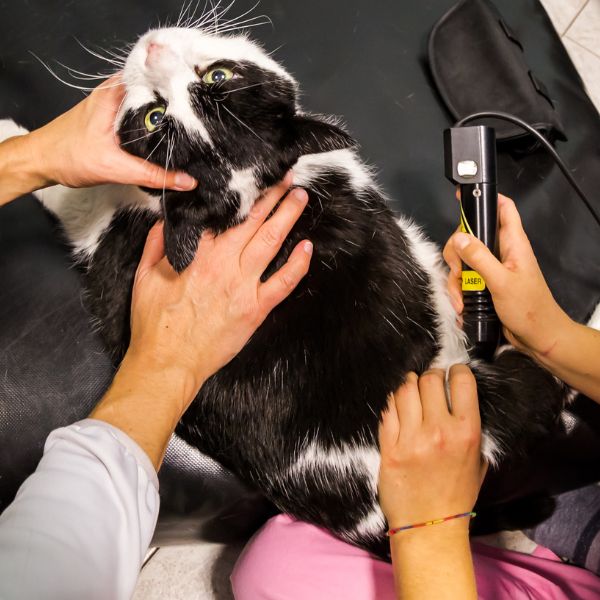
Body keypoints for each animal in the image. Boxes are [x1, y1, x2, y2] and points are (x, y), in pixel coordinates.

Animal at [0, 23, 568, 556]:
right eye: (156, 118)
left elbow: (76, 197)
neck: (245, 201)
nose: (153, 47)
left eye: (217, 76)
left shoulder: (110, 240)